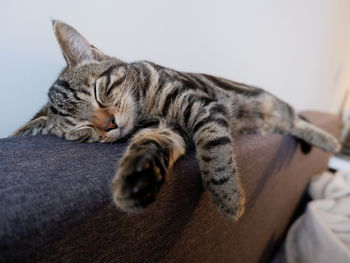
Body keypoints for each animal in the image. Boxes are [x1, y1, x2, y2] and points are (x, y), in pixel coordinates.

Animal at [11, 20, 342, 222]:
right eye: (82, 128)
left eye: (97, 91)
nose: (110, 124)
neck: (143, 110)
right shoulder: (165, 130)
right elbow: (150, 145)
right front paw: (137, 178)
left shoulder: (201, 105)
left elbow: (214, 148)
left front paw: (228, 196)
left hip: (273, 104)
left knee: (296, 120)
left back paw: (331, 140)